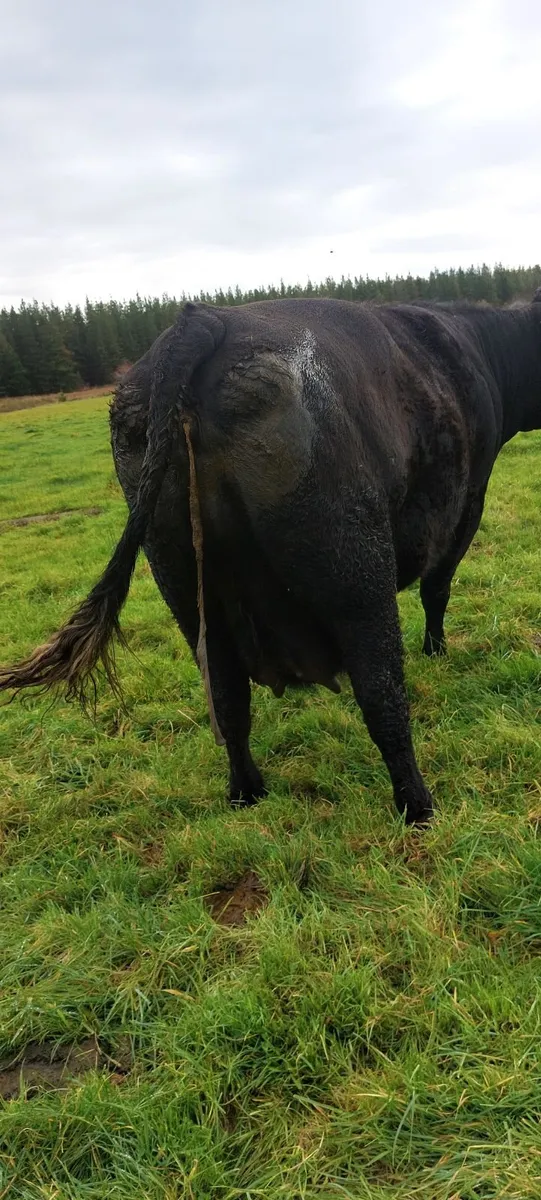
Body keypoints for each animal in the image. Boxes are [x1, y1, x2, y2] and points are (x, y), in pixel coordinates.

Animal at [2, 290, 541, 824]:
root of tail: (203, 320)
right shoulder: (465, 505)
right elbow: (437, 590)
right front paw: (436, 649)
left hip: (180, 576)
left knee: (226, 695)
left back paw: (247, 791)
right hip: (355, 564)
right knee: (381, 689)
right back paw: (418, 806)